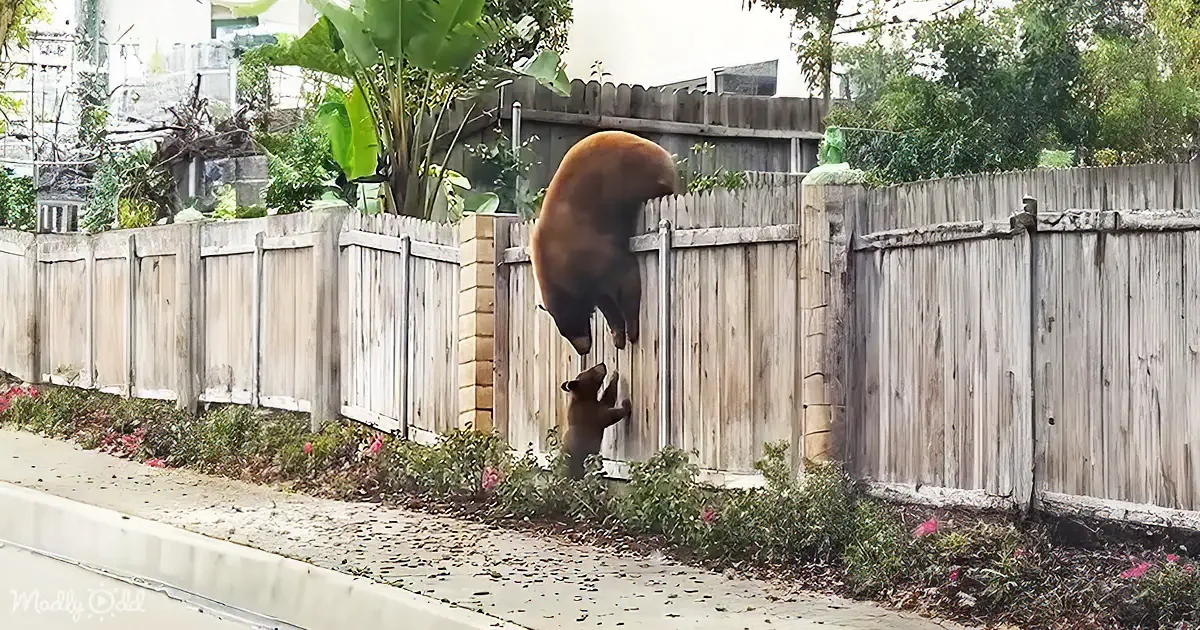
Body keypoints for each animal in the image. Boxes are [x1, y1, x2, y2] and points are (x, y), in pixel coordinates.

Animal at [529, 130, 681, 356]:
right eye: (565, 333)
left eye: (573, 326)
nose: (583, 350)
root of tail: (663, 153)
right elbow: (605, 300)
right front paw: (618, 335)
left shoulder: (591, 249)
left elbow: (626, 275)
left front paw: (632, 331)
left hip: (642, 177)